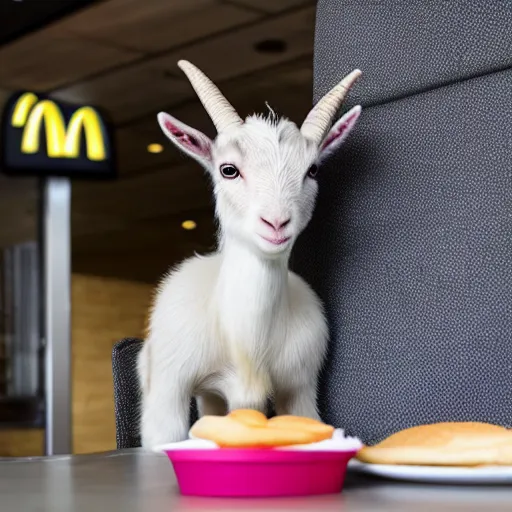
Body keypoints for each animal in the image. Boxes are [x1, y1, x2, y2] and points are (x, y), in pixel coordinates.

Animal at [136, 60, 360, 446]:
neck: (248, 345)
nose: (276, 223)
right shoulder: (170, 386)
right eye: (229, 169)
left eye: (312, 170)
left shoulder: (300, 385)